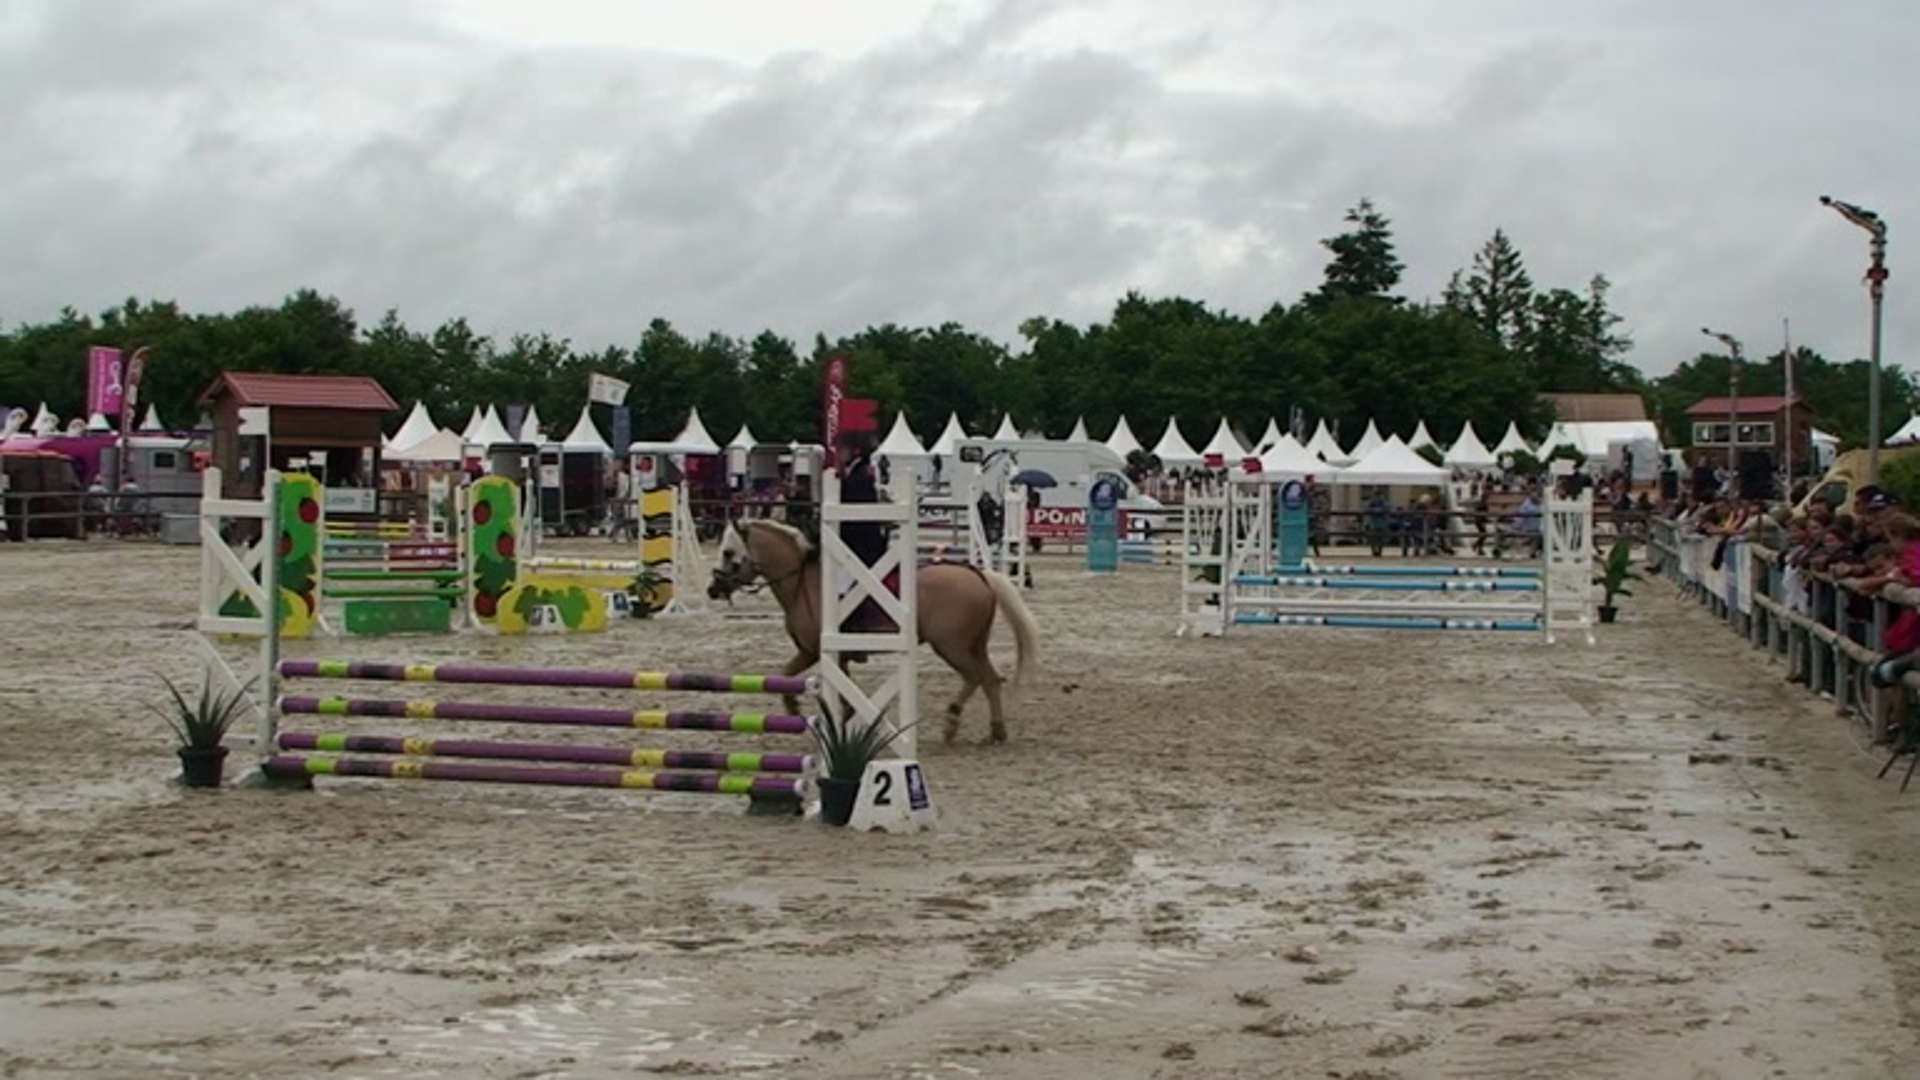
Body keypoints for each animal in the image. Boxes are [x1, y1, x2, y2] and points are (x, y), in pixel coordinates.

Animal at [706, 518, 1036, 737]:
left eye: (728, 552)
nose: (712, 589)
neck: (803, 582)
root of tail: (976, 573)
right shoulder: (819, 654)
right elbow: (800, 679)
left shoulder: (814, 652)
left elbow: (794, 678)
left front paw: (796, 710)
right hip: (973, 646)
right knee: (989, 679)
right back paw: (995, 730)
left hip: (952, 647)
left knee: (977, 677)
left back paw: (953, 721)